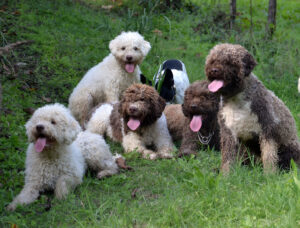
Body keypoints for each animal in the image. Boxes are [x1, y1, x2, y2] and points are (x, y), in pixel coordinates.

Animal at [205, 42, 300, 174]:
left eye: (229, 62)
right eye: (213, 61)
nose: (214, 70)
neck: (237, 101)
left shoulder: (267, 130)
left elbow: (269, 156)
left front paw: (270, 175)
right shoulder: (228, 134)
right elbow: (228, 157)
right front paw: (225, 174)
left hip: (288, 149)